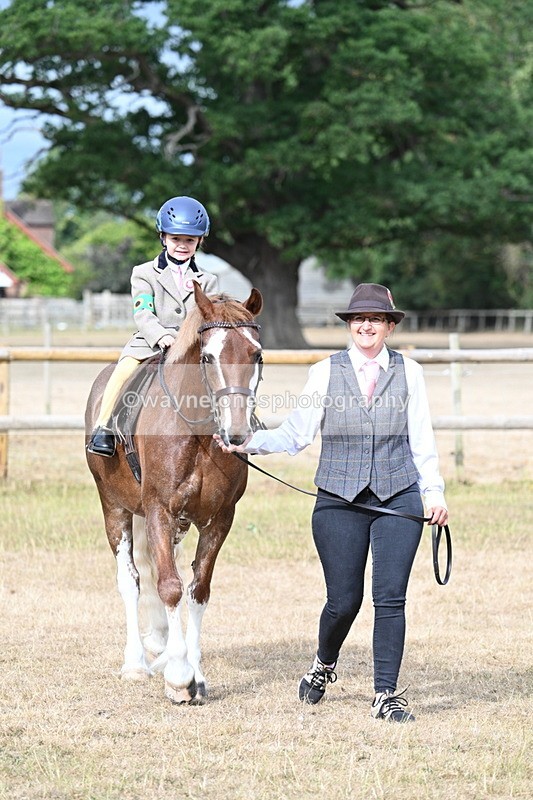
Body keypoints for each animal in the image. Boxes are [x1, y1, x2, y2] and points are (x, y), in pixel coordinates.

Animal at [85, 282, 263, 704]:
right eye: (209, 356)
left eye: (257, 354)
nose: (236, 432)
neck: (198, 432)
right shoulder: (158, 511)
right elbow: (168, 587)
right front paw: (180, 678)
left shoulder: (219, 519)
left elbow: (197, 590)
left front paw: (193, 671)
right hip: (114, 508)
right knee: (131, 581)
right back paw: (136, 663)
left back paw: (163, 648)